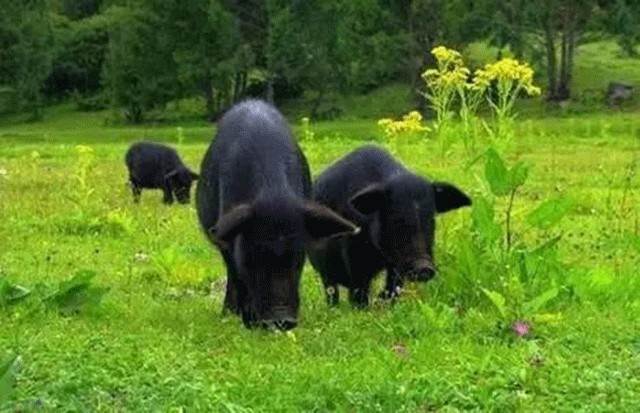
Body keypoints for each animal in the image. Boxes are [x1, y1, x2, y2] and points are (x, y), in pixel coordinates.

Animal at [195, 99, 359, 330]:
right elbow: (237, 274)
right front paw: (246, 321)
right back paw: (228, 313)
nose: (281, 320)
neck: (273, 193)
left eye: (298, 256)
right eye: (254, 254)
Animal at [307, 145, 471, 307]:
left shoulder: (396, 264)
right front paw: (362, 309)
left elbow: (394, 285)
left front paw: (384, 302)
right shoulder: (352, 254)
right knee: (331, 288)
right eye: (397, 219)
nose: (423, 267)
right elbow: (359, 288)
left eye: (431, 219)